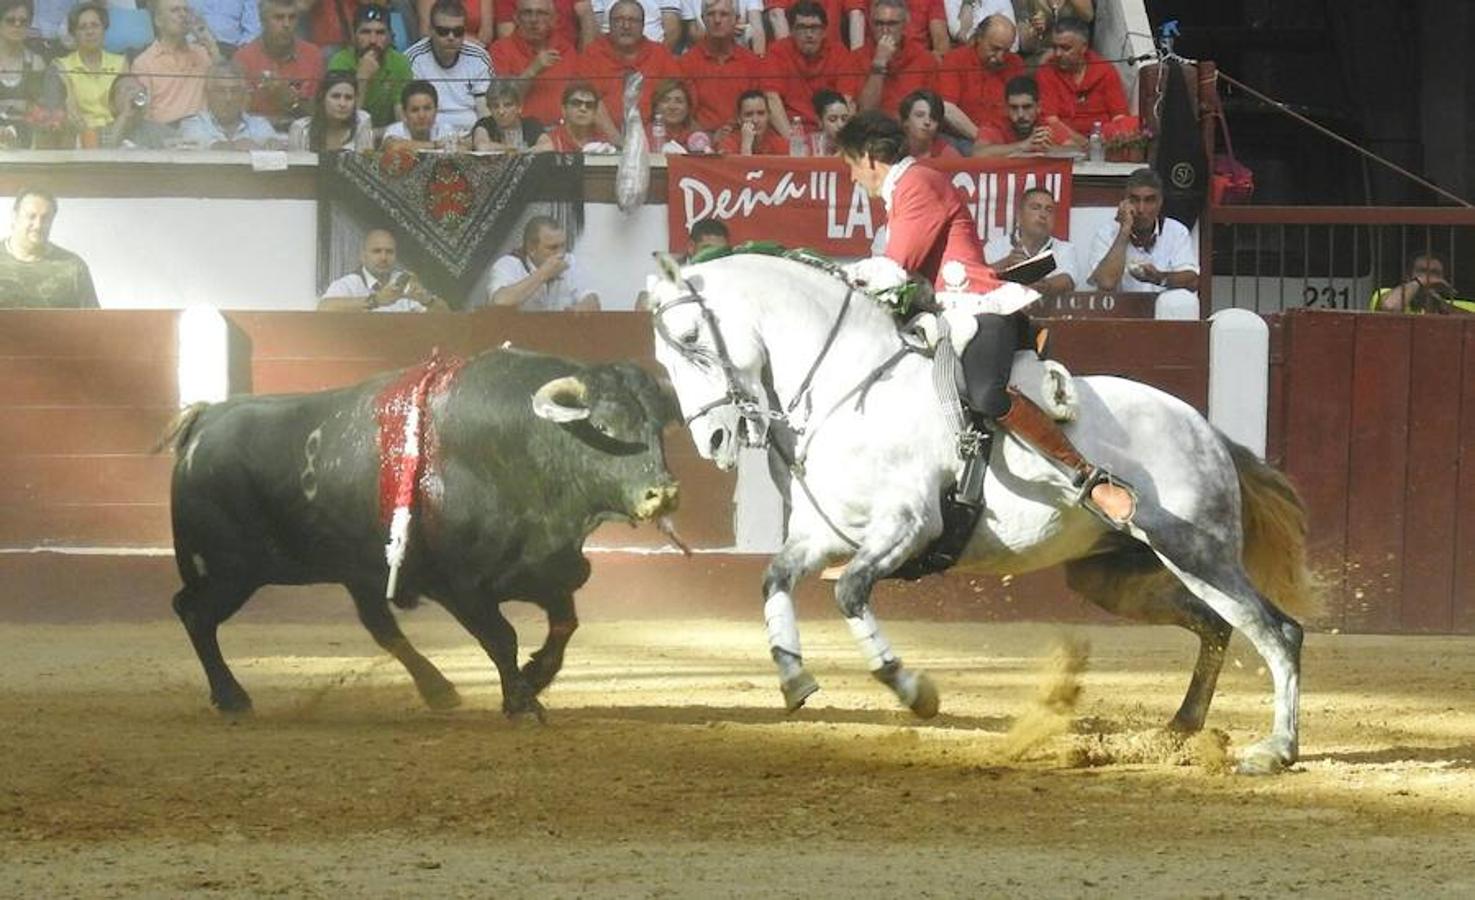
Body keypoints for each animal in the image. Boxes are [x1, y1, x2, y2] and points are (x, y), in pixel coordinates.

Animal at [164, 346, 681, 717]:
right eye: (605, 426)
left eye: (659, 427)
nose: (663, 493)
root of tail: (205, 420)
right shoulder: (458, 585)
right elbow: (502, 636)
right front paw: (521, 701)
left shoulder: (548, 569)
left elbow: (563, 626)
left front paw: (533, 679)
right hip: (233, 571)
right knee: (195, 614)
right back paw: (232, 696)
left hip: (348, 571)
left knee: (379, 627)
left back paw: (437, 689)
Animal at [651, 252, 1321, 773]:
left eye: (691, 338)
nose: (713, 439)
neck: (851, 386)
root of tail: (1209, 431)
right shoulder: (825, 534)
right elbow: (774, 579)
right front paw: (793, 679)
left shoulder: (908, 525)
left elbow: (850, 593)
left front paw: (914, 691)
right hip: (1114, 577)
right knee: (1216, 627)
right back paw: (1180, 729)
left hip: (1196, 552)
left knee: (1278, 631)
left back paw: (1274, 750)